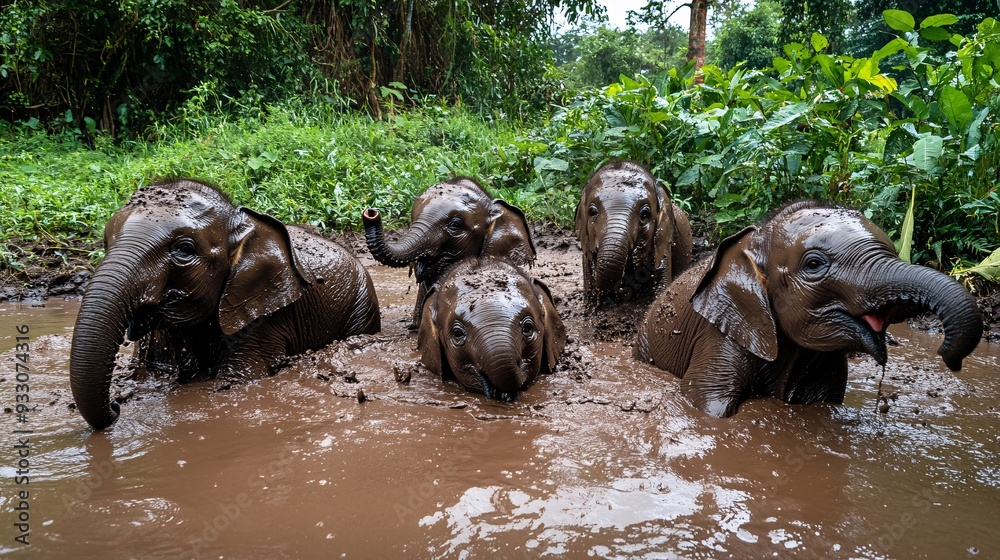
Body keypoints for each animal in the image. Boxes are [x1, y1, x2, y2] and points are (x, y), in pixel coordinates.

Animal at [70, 179, 381, 430]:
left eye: (184, 250)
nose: (116, 406)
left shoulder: (262, 313)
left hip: (362, 302)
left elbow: (238, 378)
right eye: (106, 242)